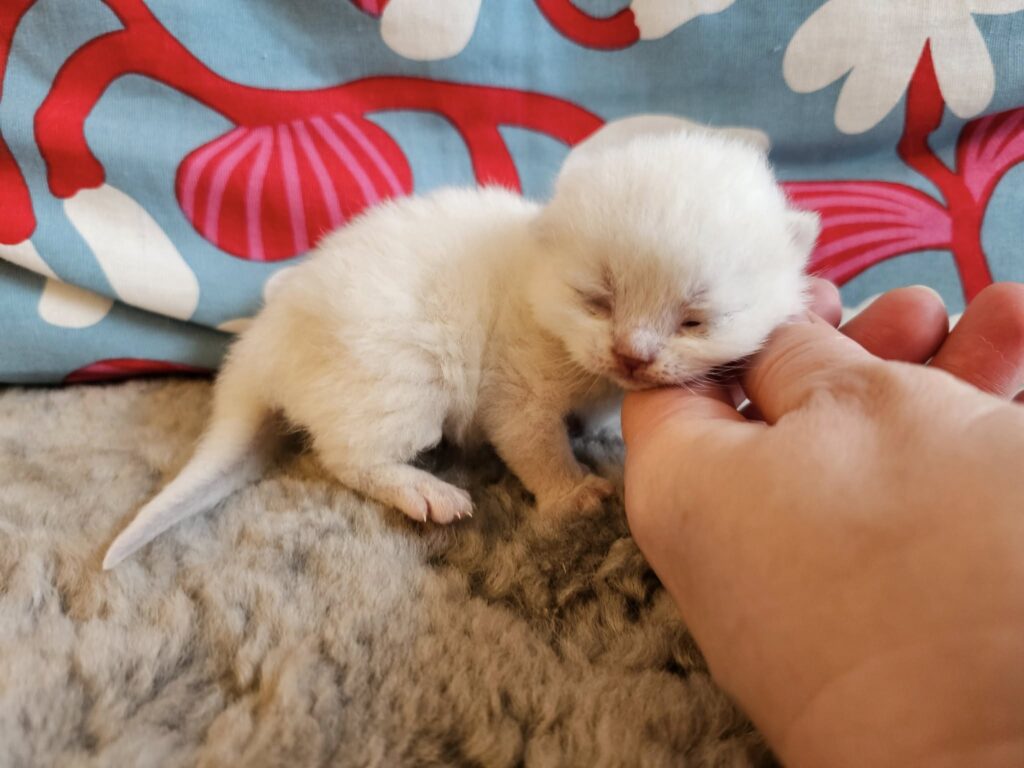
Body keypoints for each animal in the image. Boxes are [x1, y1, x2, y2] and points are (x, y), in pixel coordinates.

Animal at [102, 130, 818, 569]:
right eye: (598, 298)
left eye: (695, 320)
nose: (632, 356)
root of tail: (263, 340)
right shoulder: (515, 386)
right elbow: (534, 444)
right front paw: (573, 495)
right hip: (400, 377)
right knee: (345, 456)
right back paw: (424, 491)